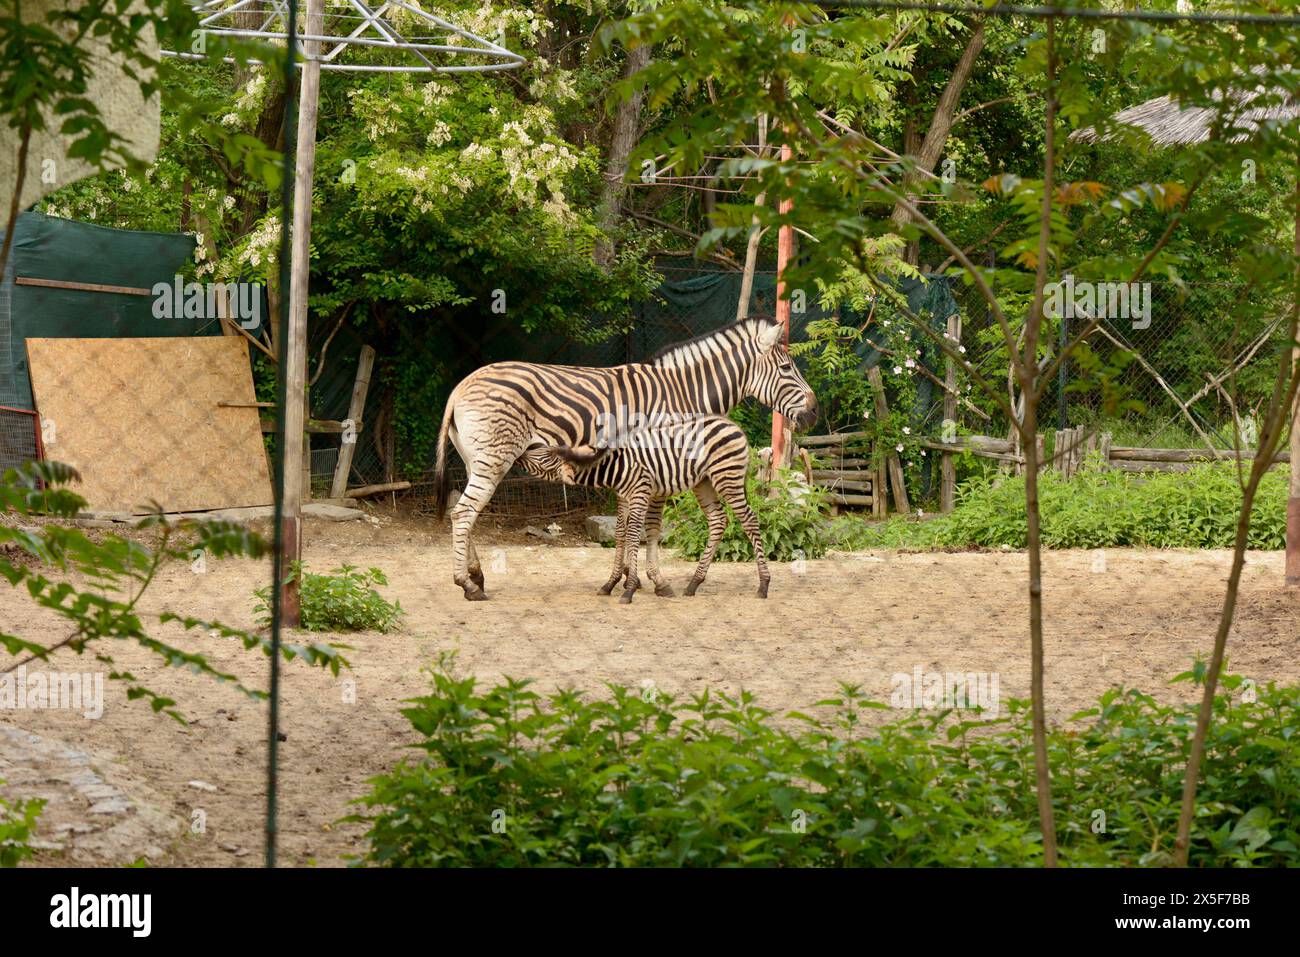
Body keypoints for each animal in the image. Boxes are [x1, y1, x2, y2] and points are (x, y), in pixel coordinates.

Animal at [433, 317, 816, 600]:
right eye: (787, 368)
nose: (814, 412)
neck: (681, 392)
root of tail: (460, 387)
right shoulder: (660, 459)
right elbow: (651, 526)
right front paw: (654, 580)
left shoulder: (634, 466)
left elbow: (623, 525)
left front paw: (623, 579)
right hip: (494, 459)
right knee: (464, 513)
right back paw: (467, 584)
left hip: (474, 460)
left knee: (464, 513)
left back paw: (476, 576)